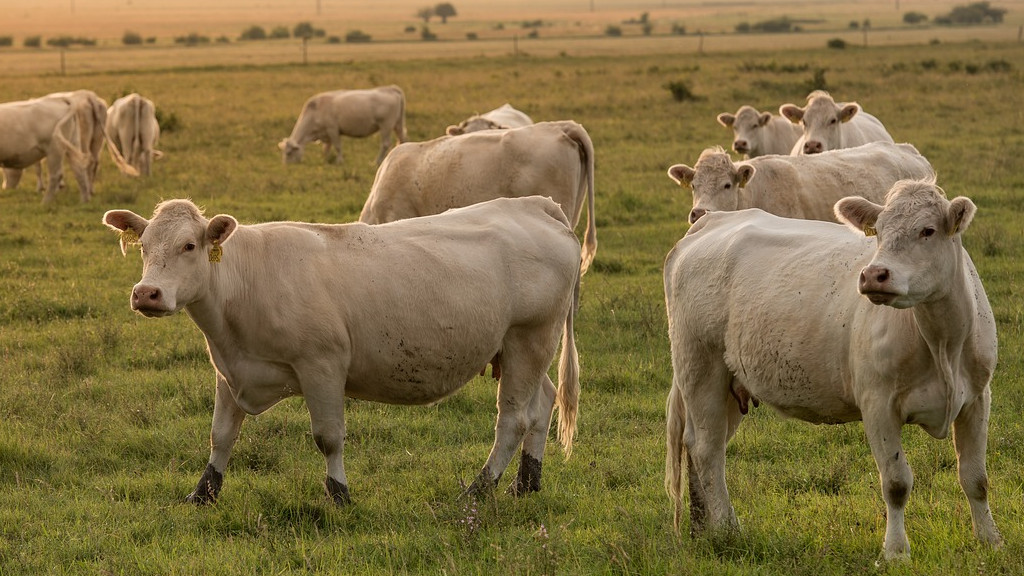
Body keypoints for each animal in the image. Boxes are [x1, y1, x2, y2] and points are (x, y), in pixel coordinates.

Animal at [105, 194, 585, 504]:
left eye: (189, 245)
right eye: (143, 247)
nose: (146, 293)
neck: (247, 281)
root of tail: (535, 205)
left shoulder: (322, 366)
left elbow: (328, 437)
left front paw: (339, 494)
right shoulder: (231, 370)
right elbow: (221, 435)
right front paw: (203, 492)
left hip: (529, 338)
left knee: (513, 420)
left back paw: (479, 489)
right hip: (521, 349)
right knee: (542, 404)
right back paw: (526, 483)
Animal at [663, 178, 999, 557]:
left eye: (928, 230)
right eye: (878, 231)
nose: (874, 275)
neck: (943, 343)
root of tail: (711, 220)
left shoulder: (977, 399)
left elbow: (975, 477)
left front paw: (990, 540)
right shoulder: (877, 404)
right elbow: (896, 483)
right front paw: (896, 552)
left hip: (729, 384)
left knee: (700, 443)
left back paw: (701, 527)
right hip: (700, 366)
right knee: (707, 450)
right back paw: (726, 530)